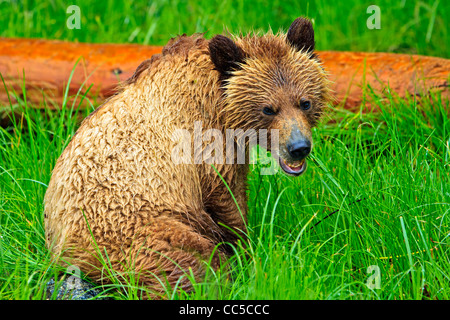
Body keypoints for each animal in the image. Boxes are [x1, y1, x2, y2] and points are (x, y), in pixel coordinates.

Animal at [44, 16, 330, 298]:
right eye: (268, 109)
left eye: (305, 102)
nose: (299, 147)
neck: (220, 105)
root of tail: (68, 256)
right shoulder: (204, 143)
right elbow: (227, 199)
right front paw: (247, 252)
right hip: (139, 231)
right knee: (193, 264)